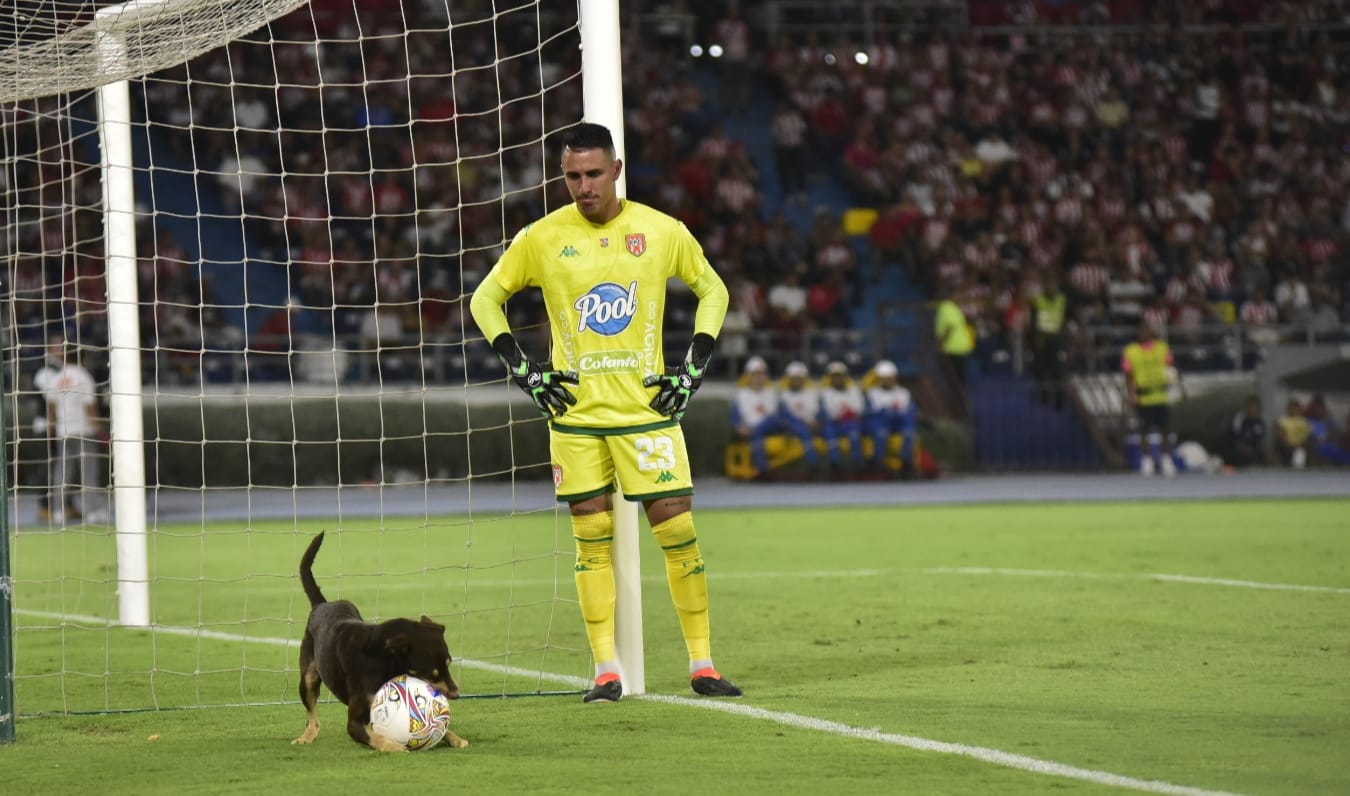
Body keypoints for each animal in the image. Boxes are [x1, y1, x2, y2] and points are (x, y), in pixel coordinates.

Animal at [290, 534, 469, 750]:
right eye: (430, 674)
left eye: (449, 664)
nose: (456, 693)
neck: (382, 658)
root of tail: (322, 604)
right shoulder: (354, 722)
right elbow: (375, 737)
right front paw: (396, 747)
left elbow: (440, 729)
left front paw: (455, 737)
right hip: (307, 676)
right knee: (312, 714)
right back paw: (307, 735)